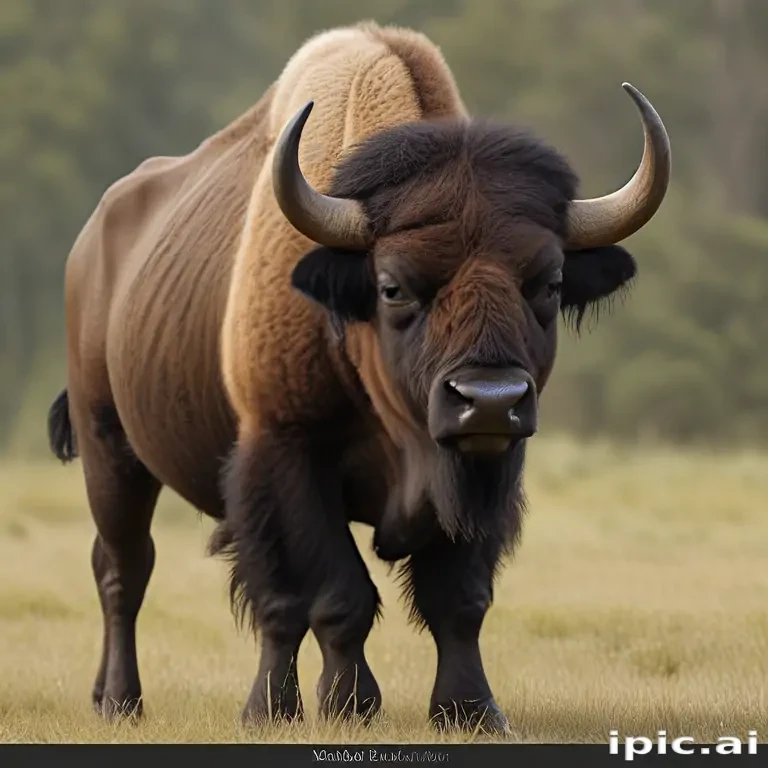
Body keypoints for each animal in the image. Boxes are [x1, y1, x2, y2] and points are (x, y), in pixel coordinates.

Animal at [47, 21, 670, 733]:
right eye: (392, 285)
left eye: (550, 282)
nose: (488, 401)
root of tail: (91, 245)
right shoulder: (287, 453)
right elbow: (328, 596)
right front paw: (318, 709)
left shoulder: (488, 471)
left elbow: (458, 600)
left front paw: (471, 710)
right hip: (111, 451)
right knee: (125, 570)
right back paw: (122, 702)